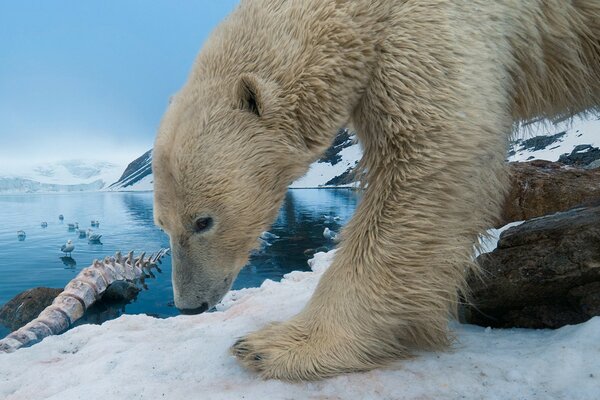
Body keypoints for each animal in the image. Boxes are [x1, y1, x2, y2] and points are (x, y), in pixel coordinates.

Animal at [154, 0, 600, 382]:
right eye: (163, 225)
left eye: (203, 221)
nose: (190, 305)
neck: (357, 11)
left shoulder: (433, 25)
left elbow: (430, 155)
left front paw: (276, 346)